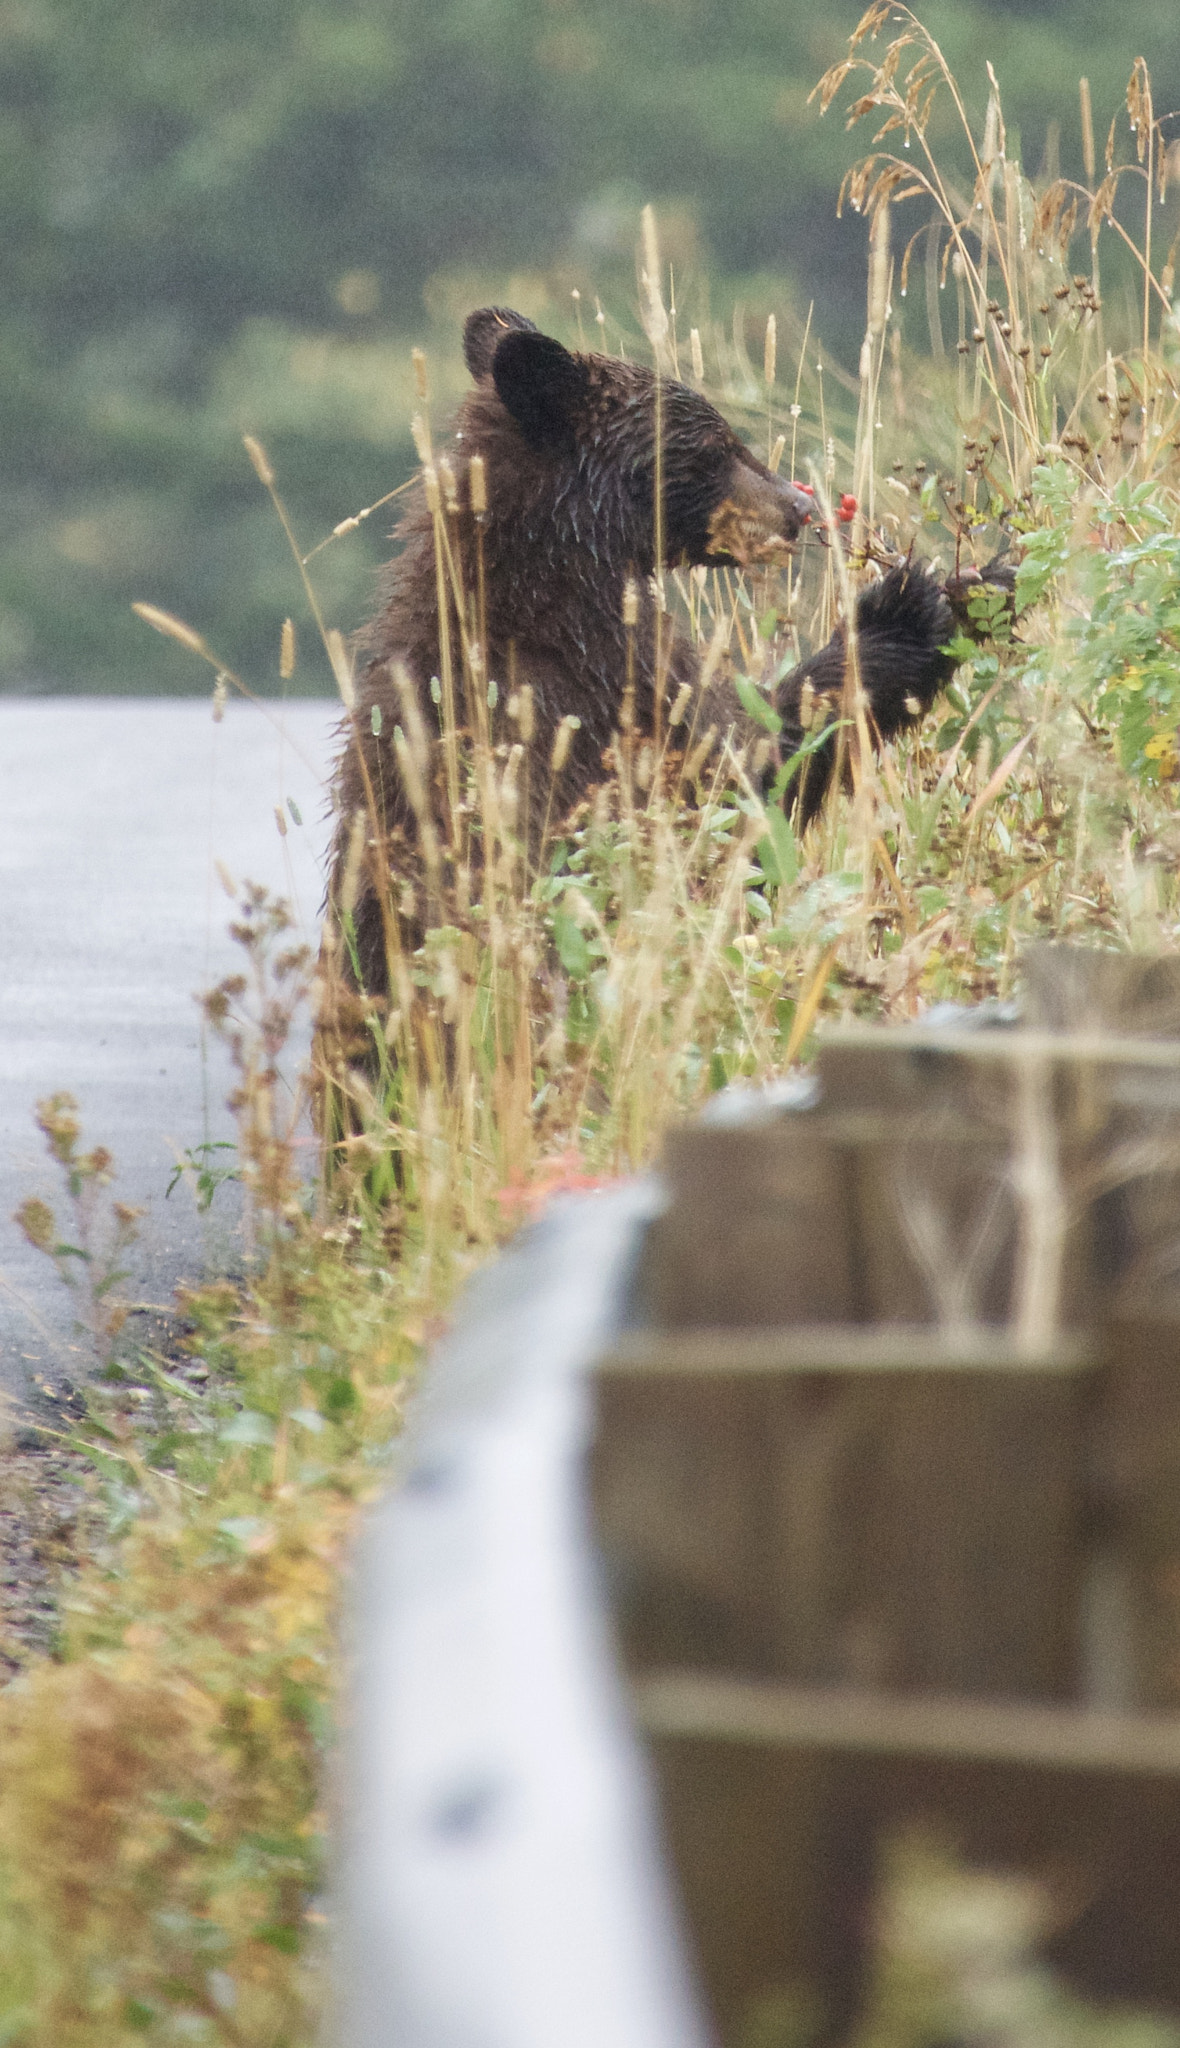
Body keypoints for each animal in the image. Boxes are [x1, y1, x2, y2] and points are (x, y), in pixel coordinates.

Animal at [327, 305, 999, 999]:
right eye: (715, 445)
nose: (800, 505)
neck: (552, 577)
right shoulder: (602, 694)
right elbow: (745, 771)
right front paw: (905, 610)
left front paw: (981, 581)